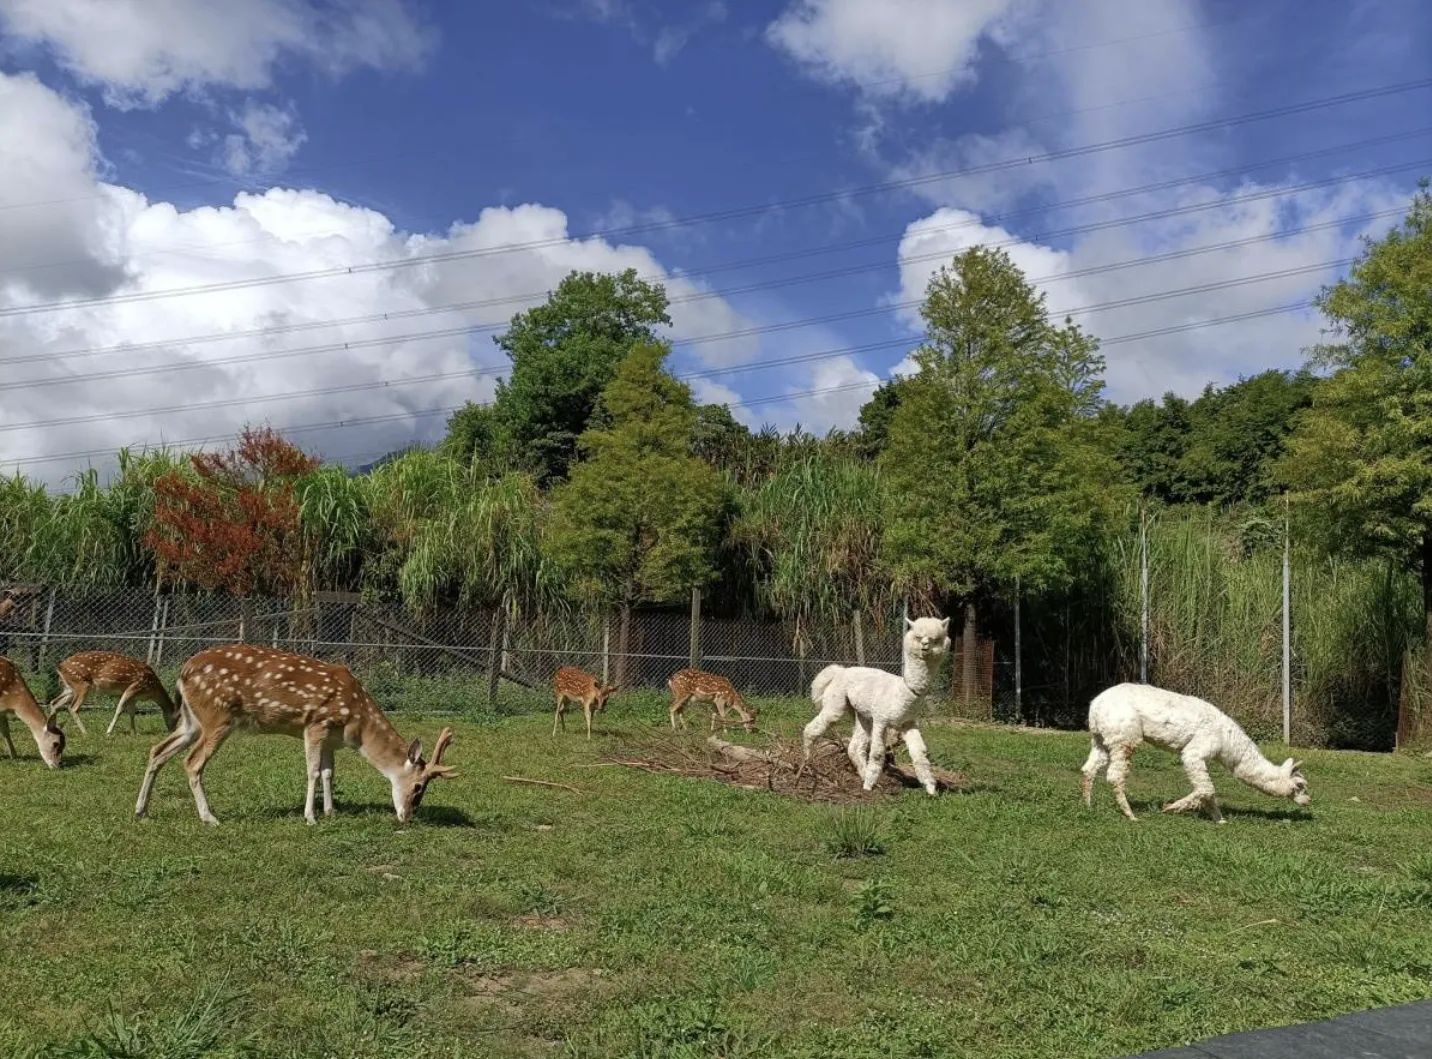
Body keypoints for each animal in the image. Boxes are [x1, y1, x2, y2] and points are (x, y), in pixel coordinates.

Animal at [134, 644, 456, 826]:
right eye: (418, 787)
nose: (408, 817)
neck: (357, 728)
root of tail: (183, 673)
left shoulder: (331, 739)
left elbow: (328, 772)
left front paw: (330, 812)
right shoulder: (315, 723)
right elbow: (312, 771)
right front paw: (310, 817)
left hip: (192, 721)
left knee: (157, 750)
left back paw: (142, 811)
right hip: (218, 717)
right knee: (192, 762)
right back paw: (209, 817)